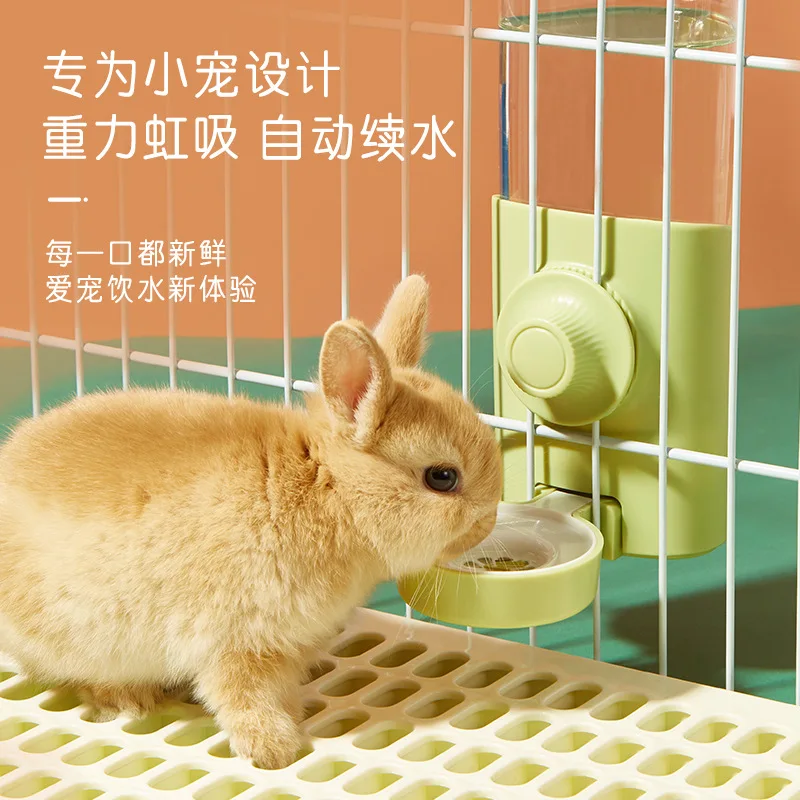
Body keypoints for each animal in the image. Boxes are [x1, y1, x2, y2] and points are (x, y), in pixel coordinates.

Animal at [0, 275, 502, 770]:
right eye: (442, 478)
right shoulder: (236, 641)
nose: (490, 520)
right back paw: (130, 699)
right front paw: (274, 749)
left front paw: (291, 719)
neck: (329, 491)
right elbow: (241, 696)